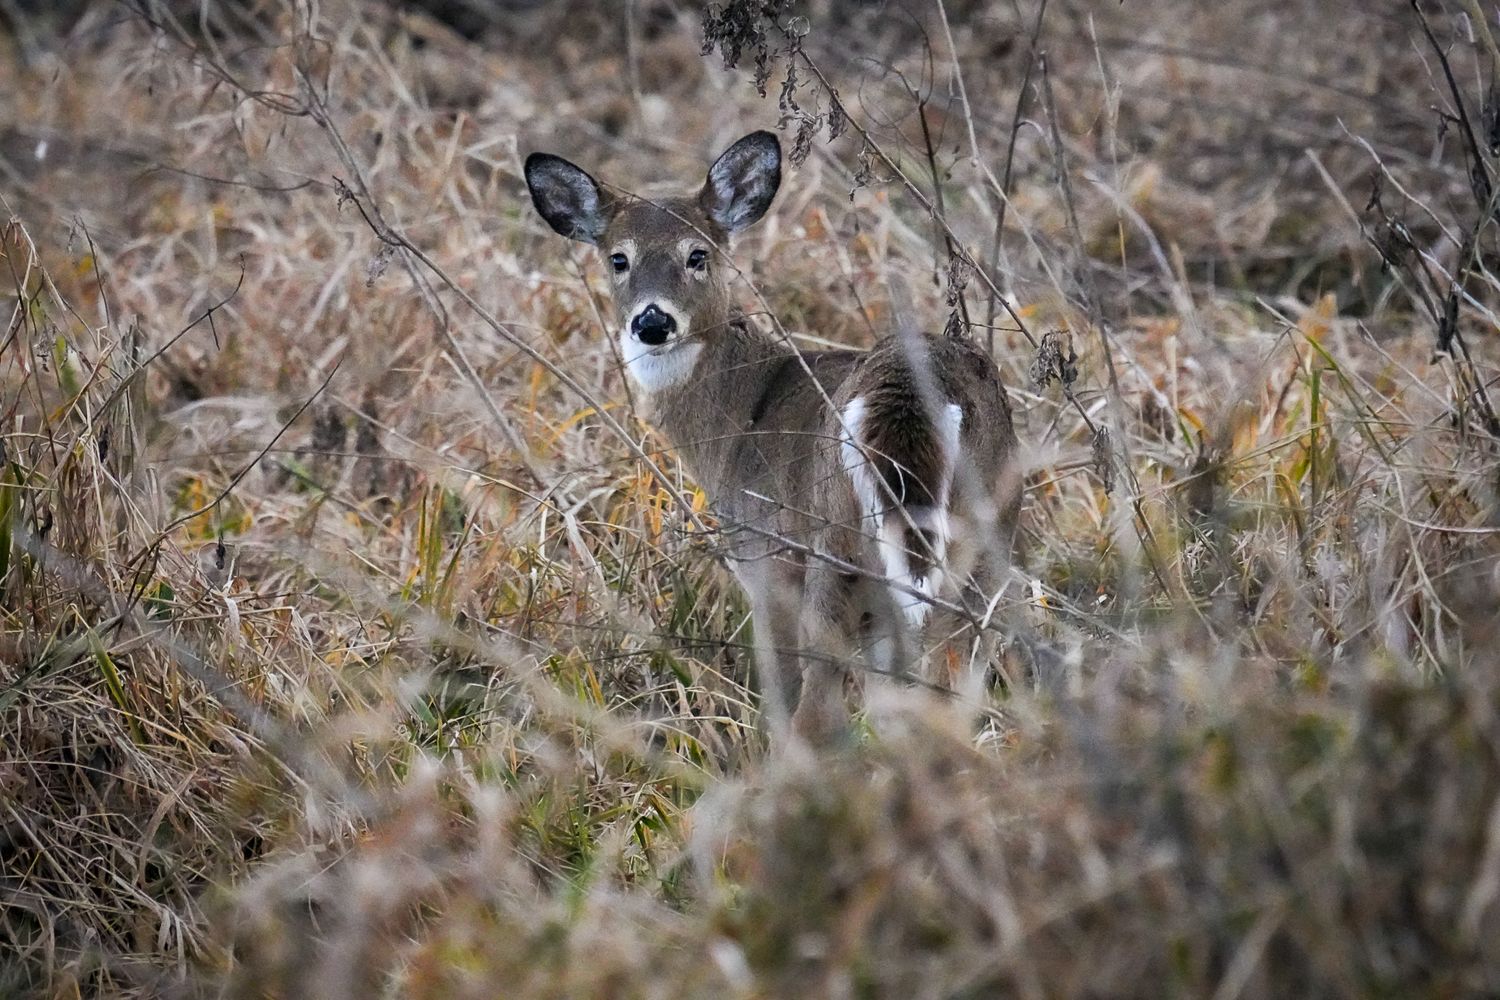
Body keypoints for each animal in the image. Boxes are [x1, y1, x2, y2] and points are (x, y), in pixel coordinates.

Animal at [524, 130, 1021, 740]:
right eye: (619, 258)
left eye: (698, 255)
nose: (652, 322)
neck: (738, 416)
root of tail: (910, 391)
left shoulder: (763, 556)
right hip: (988, 533)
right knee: (959, 667)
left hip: (832, 544)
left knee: (819, 697)